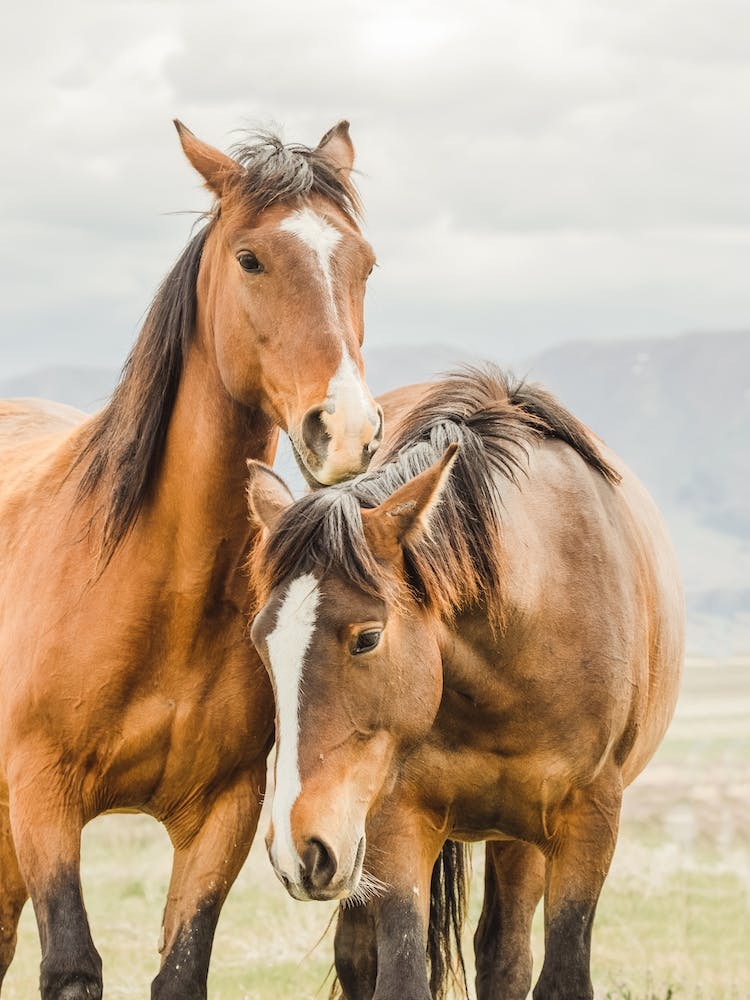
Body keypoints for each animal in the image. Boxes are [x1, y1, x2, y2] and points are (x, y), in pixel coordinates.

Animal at [0, 118, 383, 1000]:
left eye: (364, 262)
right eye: (250, 258)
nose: (346, 429)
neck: (155, 589)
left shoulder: (223, 812)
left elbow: (182, 969)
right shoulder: (41, 797)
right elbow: (71, 965)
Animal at [247, 366, 684, 1000]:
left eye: (367, 638)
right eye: (260, 640)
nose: (297, 849)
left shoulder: (590, 820)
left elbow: (558, 975)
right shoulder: (395, 820)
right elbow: (399, 975)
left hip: (516, 838)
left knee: (504, 954)